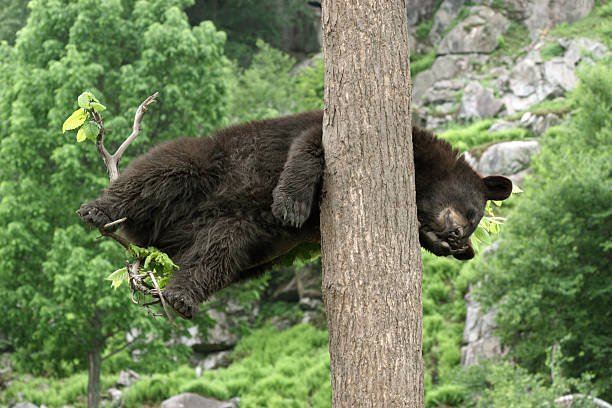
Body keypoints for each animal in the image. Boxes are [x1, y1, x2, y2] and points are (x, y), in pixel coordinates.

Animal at [79, 111, 512, 318]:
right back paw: (97, 210)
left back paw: (182, 297)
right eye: (473, 213)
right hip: (209, 161)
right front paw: (290, 204)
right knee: (164, 171)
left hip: (237, 233)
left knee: (217, 254)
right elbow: (310, 145)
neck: (420, 178)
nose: (460, 243)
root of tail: (158, 241)